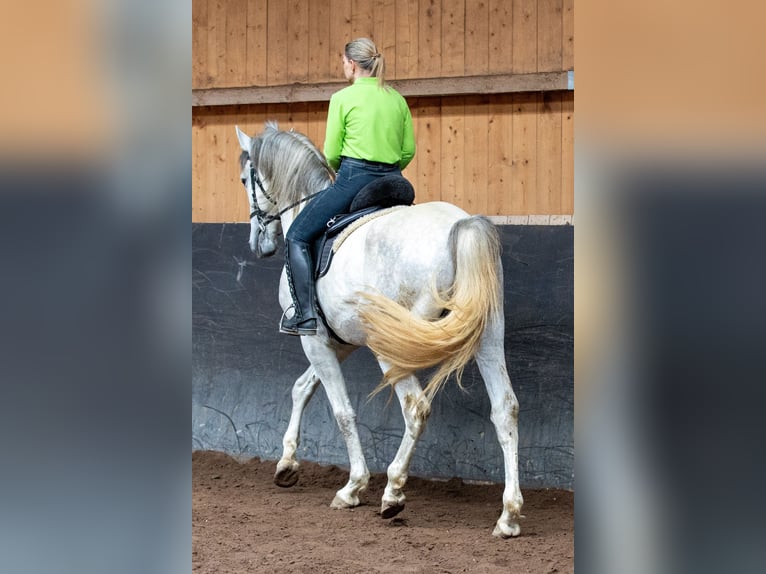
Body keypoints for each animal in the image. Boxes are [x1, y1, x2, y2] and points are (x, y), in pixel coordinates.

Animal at [234, 121, 524, 540]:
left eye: (246, 178)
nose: (258, 242)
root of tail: (459, 226)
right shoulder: (339, 343)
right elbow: (302, 388)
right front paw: (286, 464)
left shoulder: (313, 340)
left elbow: (342, 411)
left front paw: (353, 486)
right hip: (486, 337)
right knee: (505, 409)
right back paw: (508, 515)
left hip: (394, 346)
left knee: (416, 407)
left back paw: (393, 491)